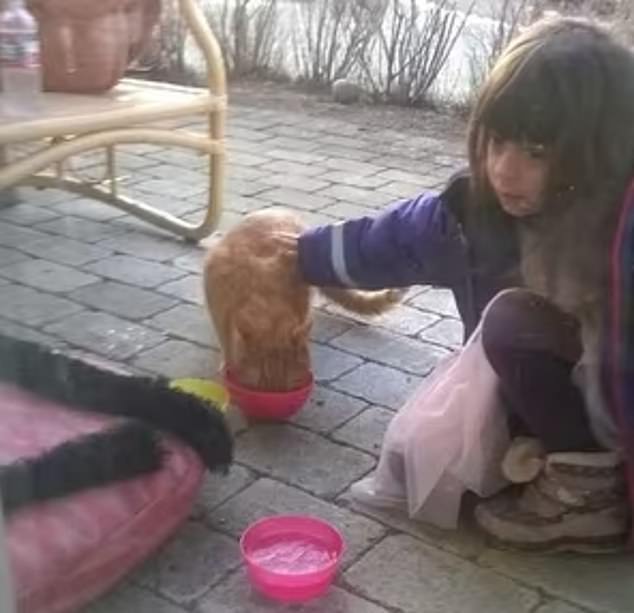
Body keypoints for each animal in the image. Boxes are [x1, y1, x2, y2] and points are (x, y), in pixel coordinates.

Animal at [204, 210, 400, 390]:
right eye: (260, 386)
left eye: (285, 389)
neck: (270, 304)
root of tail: (279, 210)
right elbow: (225, 342)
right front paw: (226, 363)